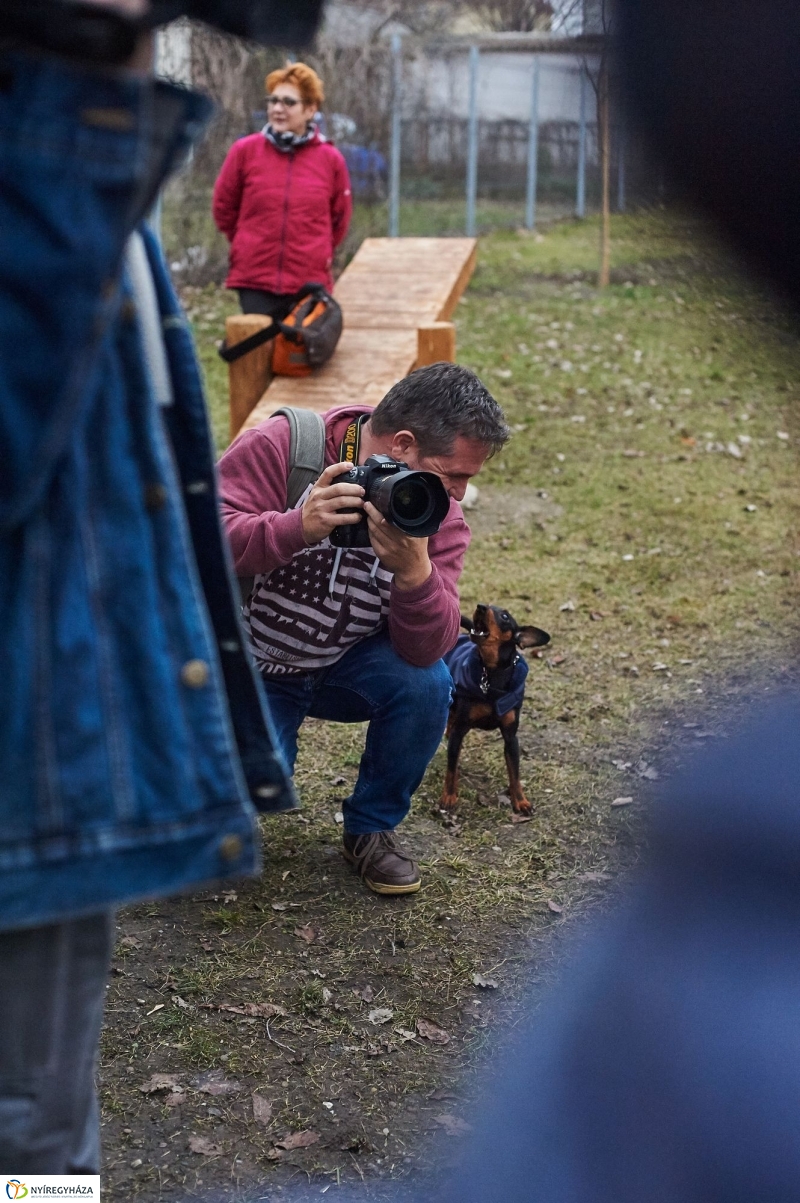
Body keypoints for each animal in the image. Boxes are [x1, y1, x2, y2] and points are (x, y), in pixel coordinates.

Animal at [440, 606, 553, 813]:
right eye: (487, 605)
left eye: (505, 616)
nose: (480, 607)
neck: (492, 673)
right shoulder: (460, 731)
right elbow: (451, 769)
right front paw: (449, 797)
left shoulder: (511, 737)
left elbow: (515, 773)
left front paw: (521, 801)